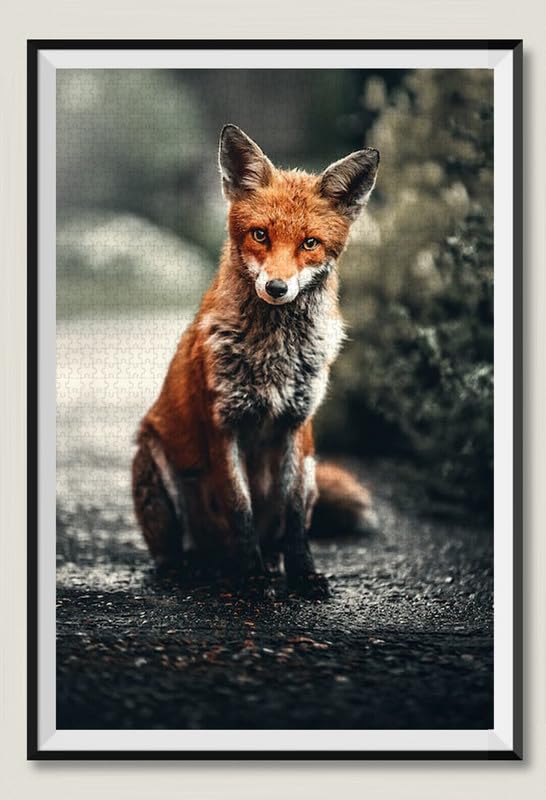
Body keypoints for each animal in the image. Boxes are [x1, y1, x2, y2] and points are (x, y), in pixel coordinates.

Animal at [132, 124, 380, 597]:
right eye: (260, 235)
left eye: (310, 243)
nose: (277, 288)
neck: (274, 354)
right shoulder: (222, 423)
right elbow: (239, 507)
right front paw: (251, 577)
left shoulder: (296, 425)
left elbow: (294, 518)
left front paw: (302, 574)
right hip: (154, 463)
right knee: (177, 551)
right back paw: (194, 568)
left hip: (312, 466)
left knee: (279, 531)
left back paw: (267, 562)